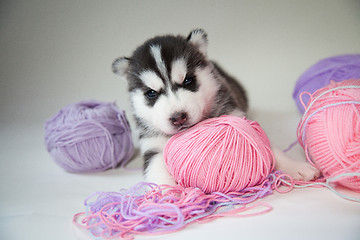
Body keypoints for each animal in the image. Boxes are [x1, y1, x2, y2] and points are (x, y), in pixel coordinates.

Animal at [113, 29, 320, 185]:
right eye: (151, 93)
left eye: (188, 80)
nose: (178, 117)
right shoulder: (152, 145)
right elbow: (156, 170)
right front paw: (165, 200)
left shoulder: (237, 116)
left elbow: (269, 147)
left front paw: (297, 167)